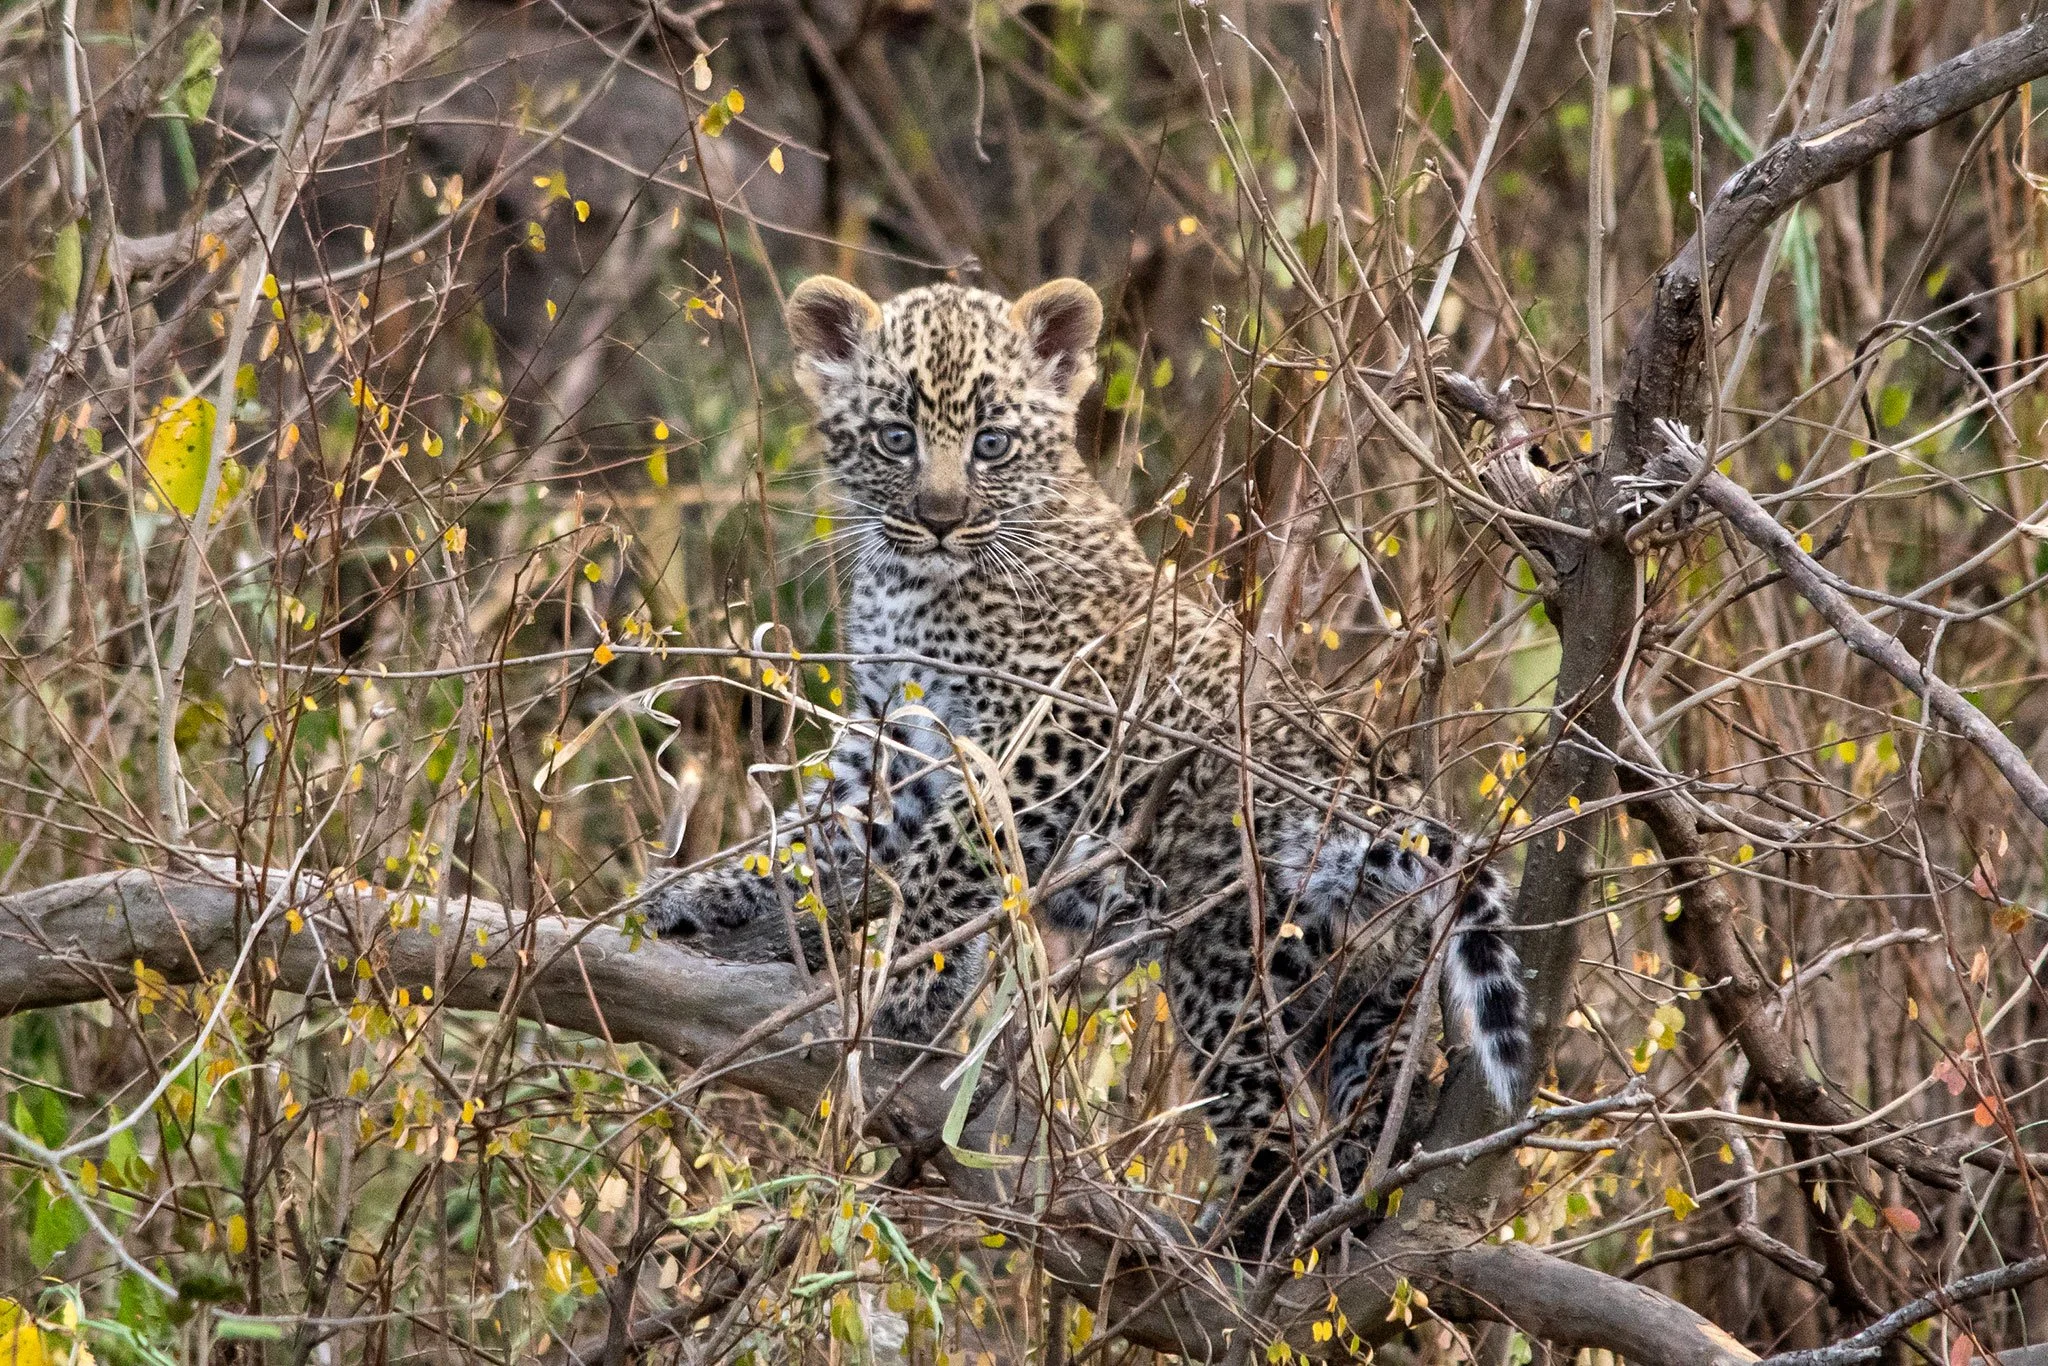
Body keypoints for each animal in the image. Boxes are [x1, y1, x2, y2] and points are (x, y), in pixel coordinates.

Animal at [645, 274, 1529, 1243]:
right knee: (1369, 1114)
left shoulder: (1055, 738)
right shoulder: (892, 746)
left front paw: (914, 995)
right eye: (895, 438)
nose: (941, 521)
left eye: (992, 443)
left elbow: (953, 850)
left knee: (1265, 1123)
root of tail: (1387, 809)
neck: (912, 583)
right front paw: (701, 897)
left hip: (1225, 959)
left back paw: (1233, 1240)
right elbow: (809, 837)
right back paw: (1347, 1211)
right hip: (1364, 994)